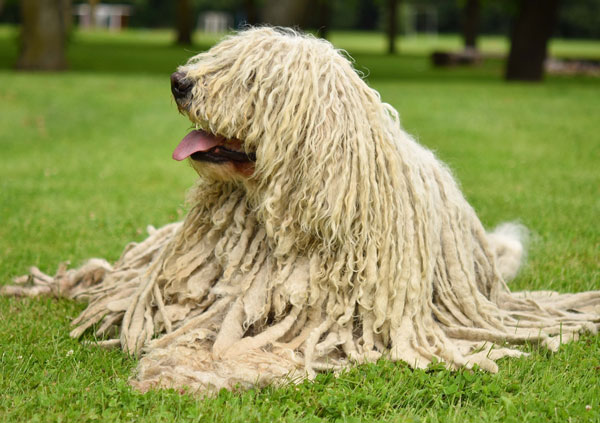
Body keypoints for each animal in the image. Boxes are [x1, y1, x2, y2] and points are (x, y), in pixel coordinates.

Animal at [2, 28, 596, 396]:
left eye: (250, 79)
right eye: (221, 57)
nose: (179, 81)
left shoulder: (325, 323)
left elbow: (246, 349)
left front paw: (181, 370)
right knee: (113, 277)